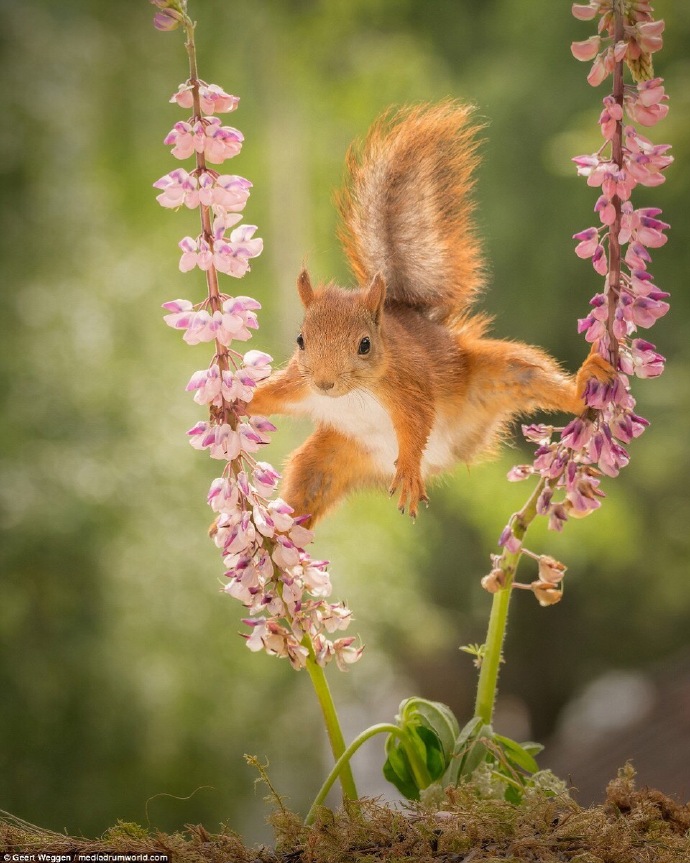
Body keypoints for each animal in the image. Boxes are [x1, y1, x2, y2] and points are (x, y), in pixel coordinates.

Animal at [245, 101, 612, 528]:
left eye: (365, 345)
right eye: (300, 340)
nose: (324, 383)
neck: (355, 394)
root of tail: (446, 459)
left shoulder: (408, 383)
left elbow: (418, 421)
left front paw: (407, 471)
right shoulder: (297, 385)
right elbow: (269, 395)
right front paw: (230, 404)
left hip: (498, 375)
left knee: (536, 378)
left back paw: (584, 385)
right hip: (331, 454)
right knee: (308, 483)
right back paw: (274, 533)